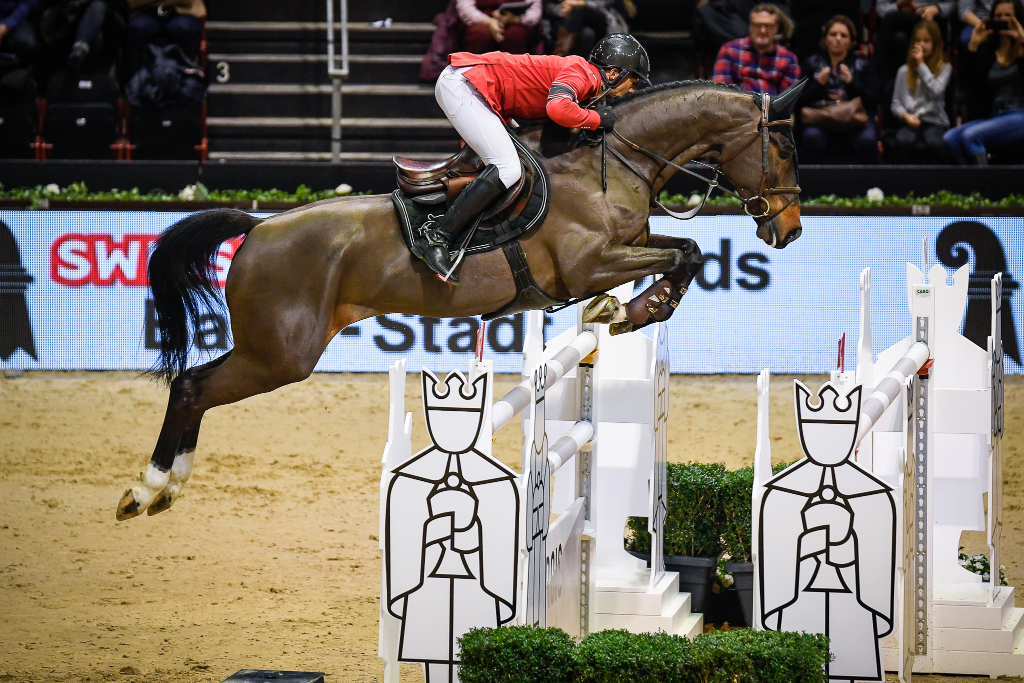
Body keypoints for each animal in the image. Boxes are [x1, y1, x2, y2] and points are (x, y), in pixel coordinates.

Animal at [116, 78, 806, 518]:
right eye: (784, 147)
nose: (791, 230)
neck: (612, 166)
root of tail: (259, 228)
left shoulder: (628, 245)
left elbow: (684, 251)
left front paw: (628, 310)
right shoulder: (588, 265)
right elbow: (679, 256)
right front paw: (635, 310)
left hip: (275, 351)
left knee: (196, 389)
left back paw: (166, 488)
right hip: (281, 354)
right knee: (193, 387)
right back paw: (149, 488)